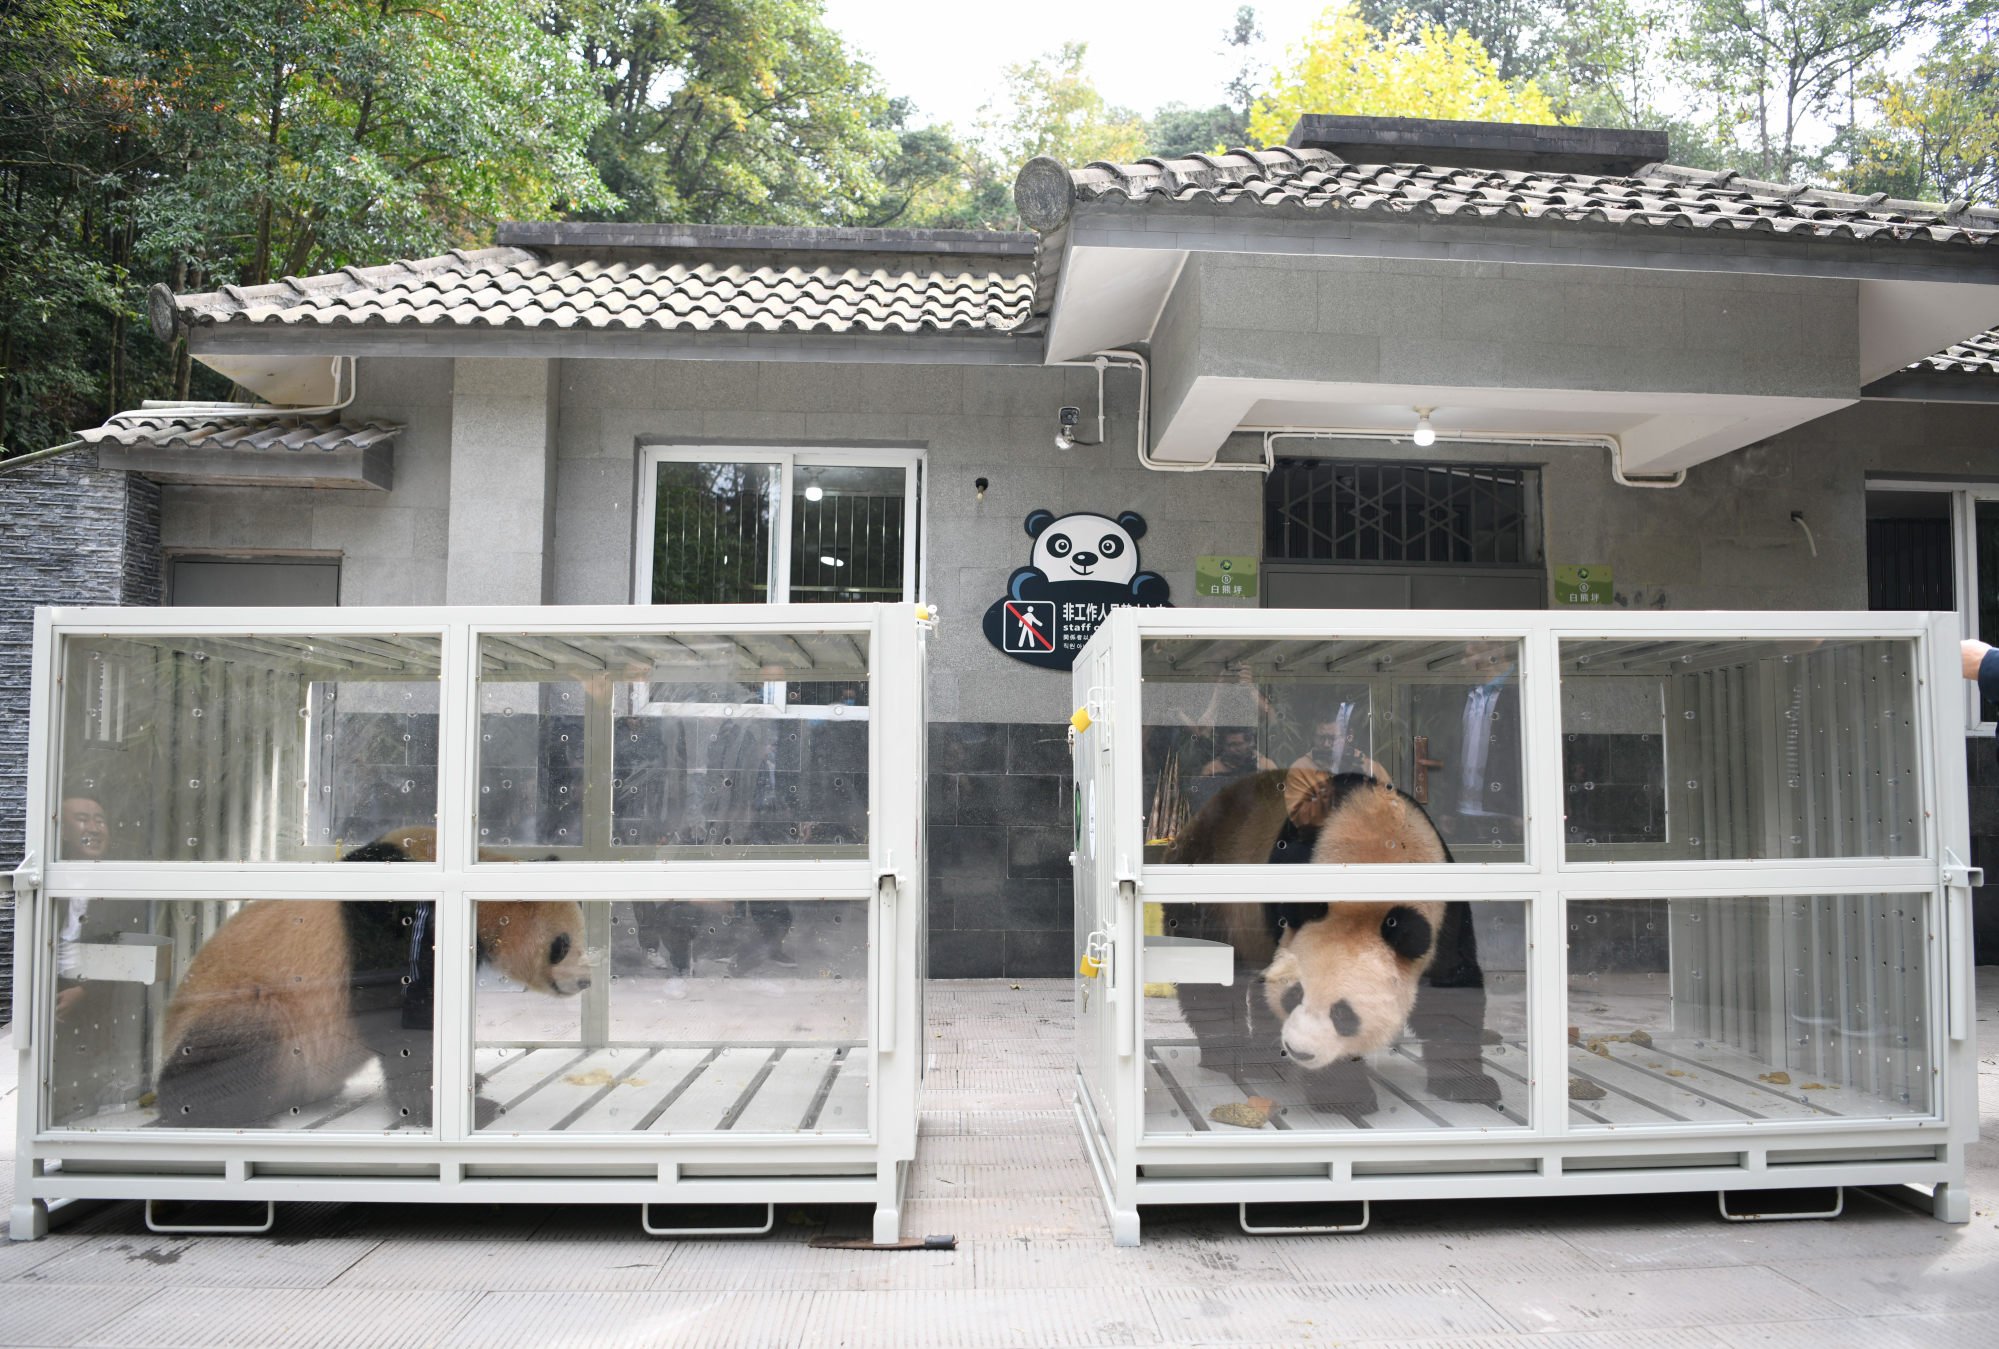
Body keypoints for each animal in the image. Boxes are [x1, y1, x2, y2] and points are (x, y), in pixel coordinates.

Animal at [155, 835, 583, 1127]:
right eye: (562, 945)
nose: (584, 983)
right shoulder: (399, 923)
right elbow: (399, 1019)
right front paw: (454, 1107)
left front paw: (471, 1081)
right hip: (239, 1006)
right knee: (243, 1040)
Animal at [1167, 763, 1495, 1127]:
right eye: (1295, 996)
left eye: (1343, 1014)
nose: (1300, 1051)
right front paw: (1345, 1095)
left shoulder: (1444, 910)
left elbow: (1455, 989)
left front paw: (1467, 1083)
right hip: (1211, 892)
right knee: (1209, 982)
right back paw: (1226, 1054)